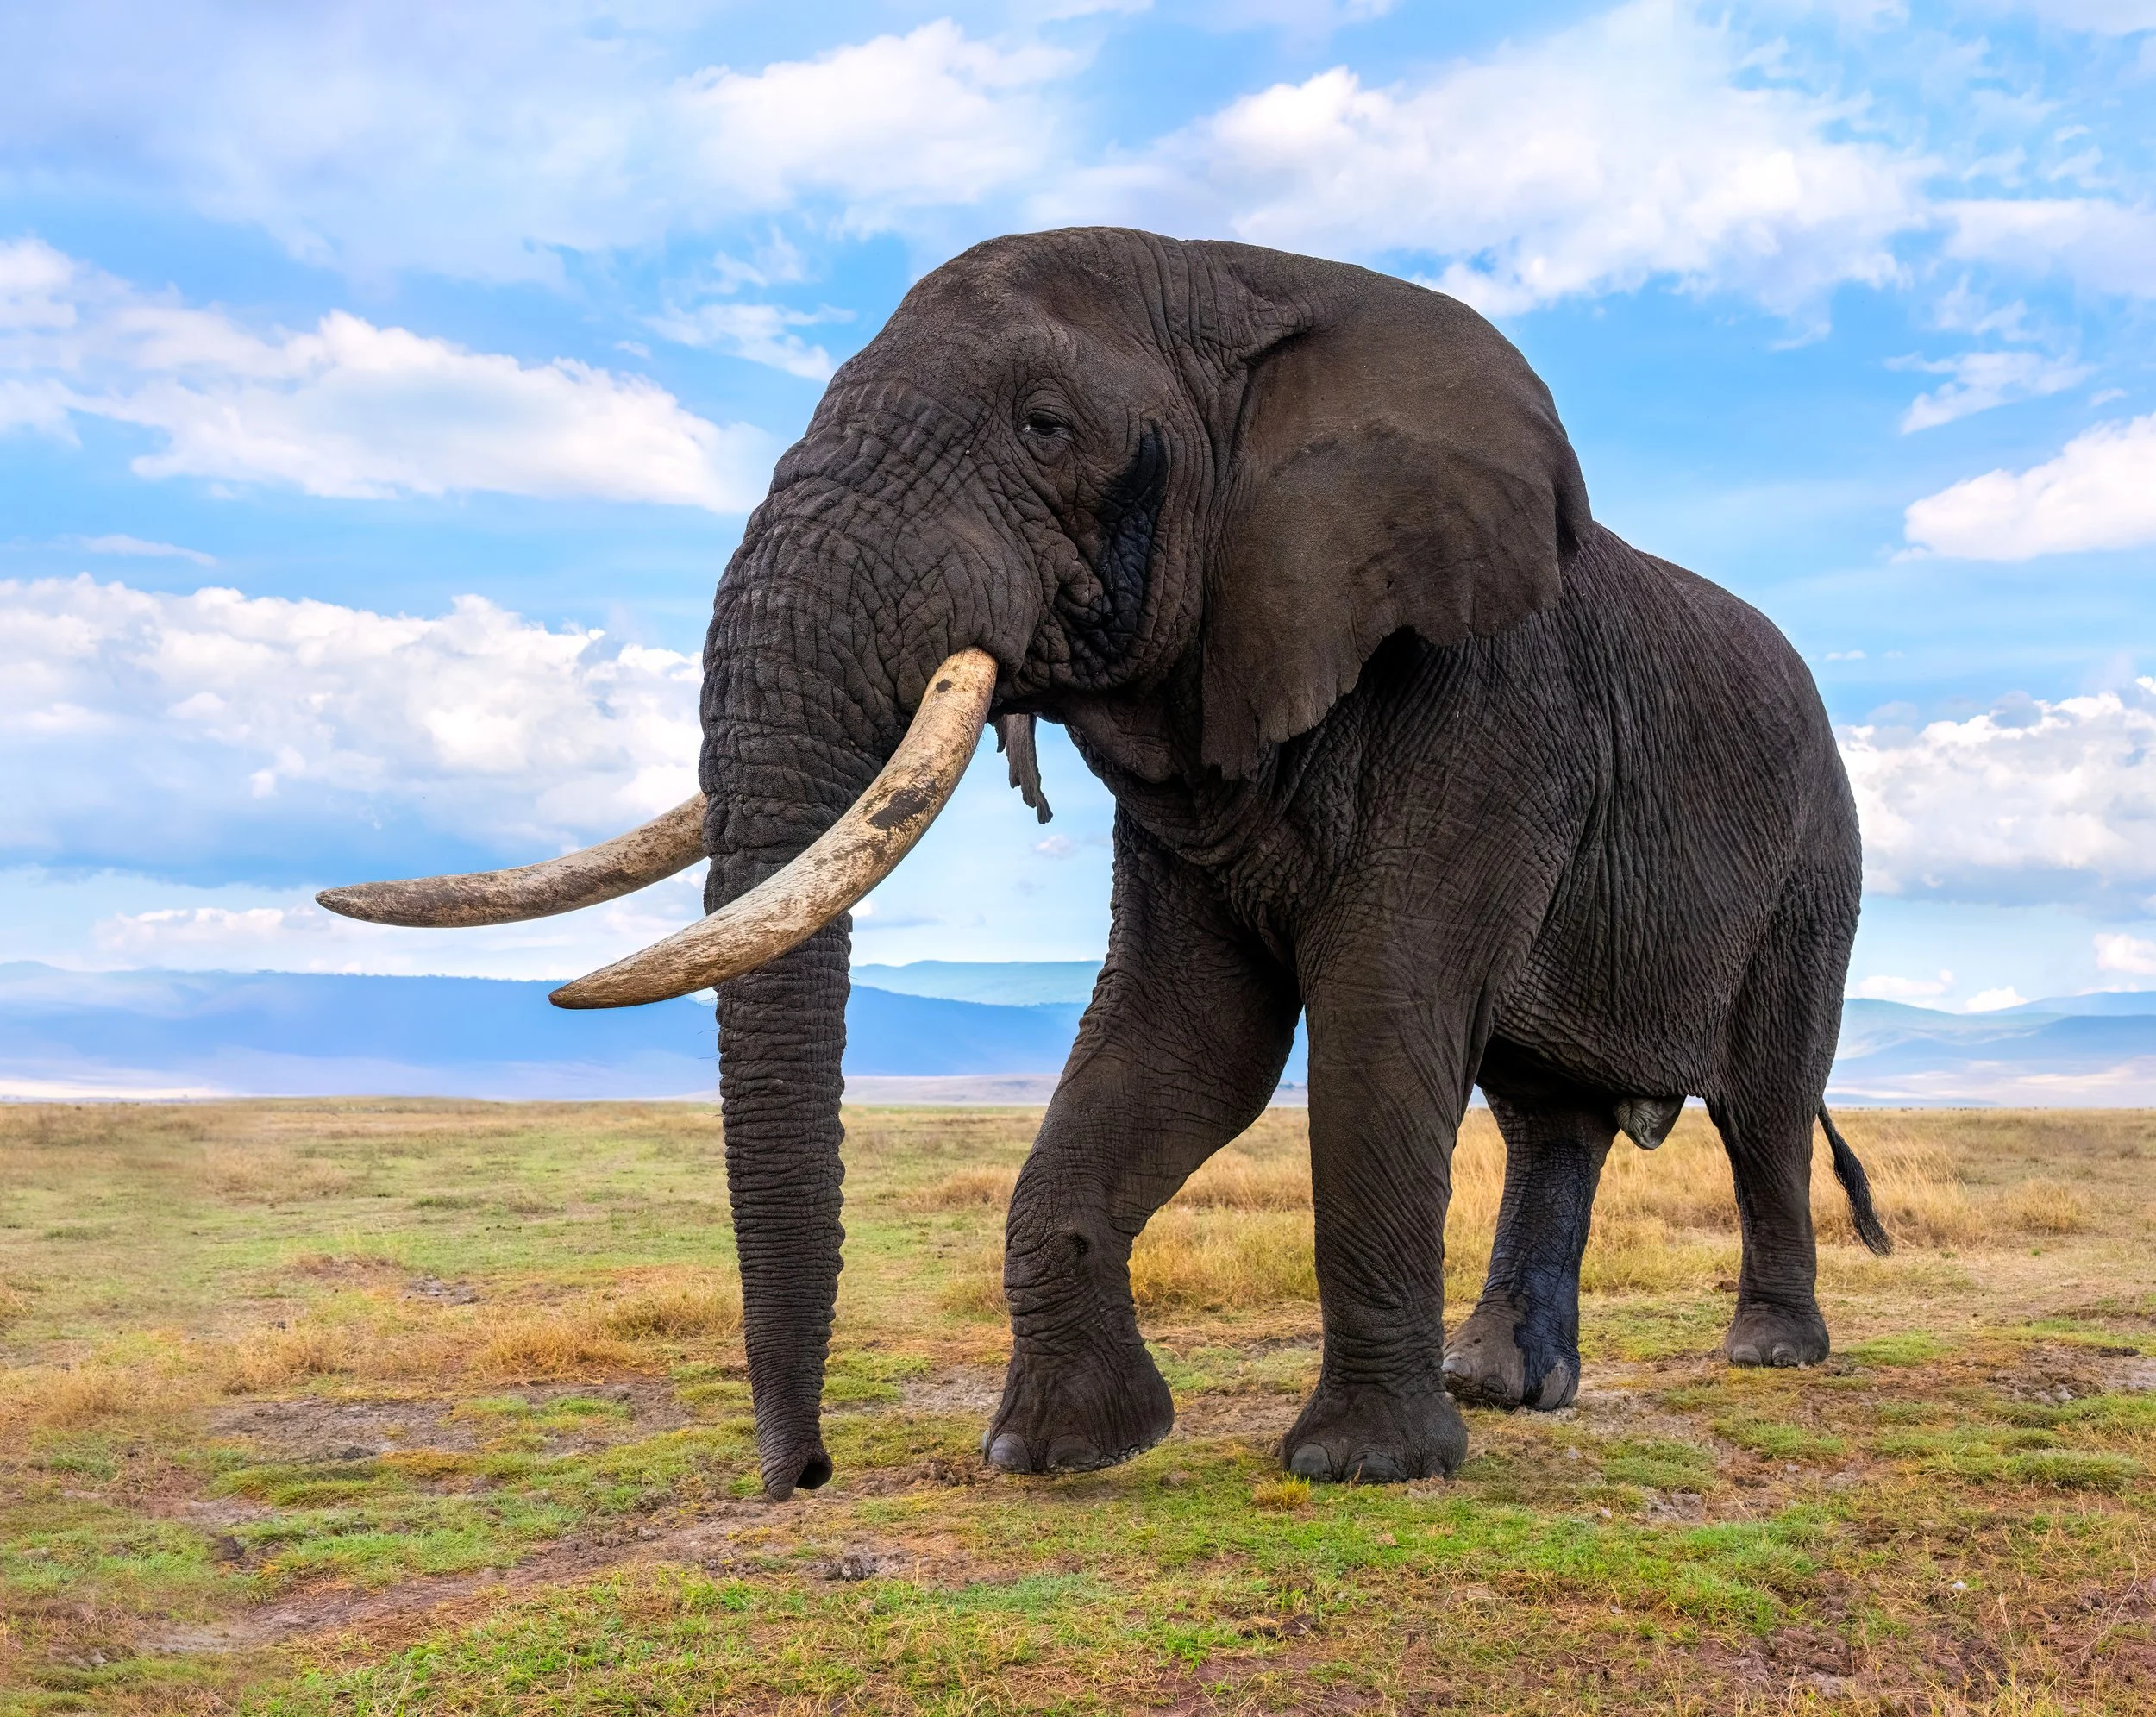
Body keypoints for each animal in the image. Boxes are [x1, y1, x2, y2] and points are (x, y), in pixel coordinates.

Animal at [323, 226, 1889, 1500]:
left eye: (1047, 424)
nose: (805, 1474)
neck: (1254, 284)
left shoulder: (1485, 704)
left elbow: (1379, 1024)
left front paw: (1359, 1470)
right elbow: (1185, 1040)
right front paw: (1056, 1452)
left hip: (1820, 859)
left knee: (1761, 1104)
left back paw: (1765, 1358)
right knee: (1547, 1117)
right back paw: (1503, 1389)